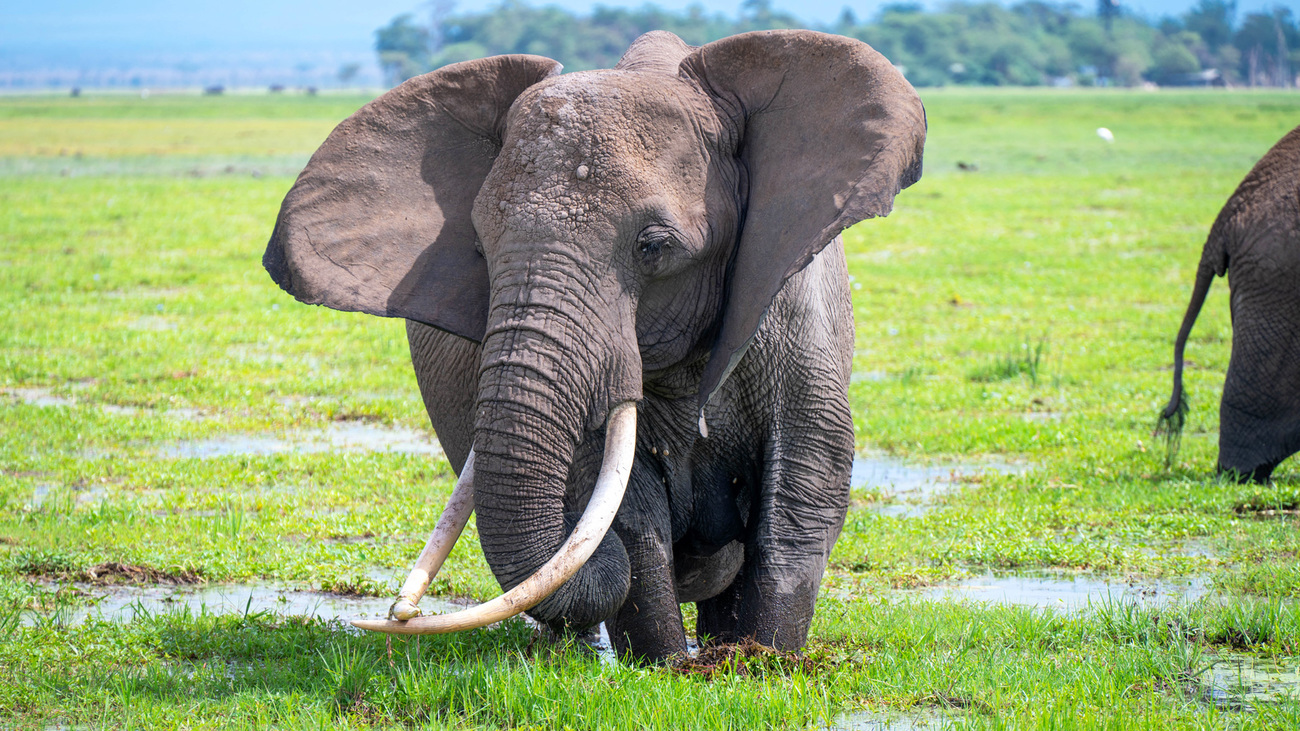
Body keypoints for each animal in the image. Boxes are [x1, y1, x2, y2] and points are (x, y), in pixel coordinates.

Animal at [263, 29, 925, 660]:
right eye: (479, 248)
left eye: (653, 246)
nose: (397, 615)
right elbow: (625, 512)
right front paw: (667, 667)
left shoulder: (796, 314)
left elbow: (803, 489)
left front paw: (761, 662)